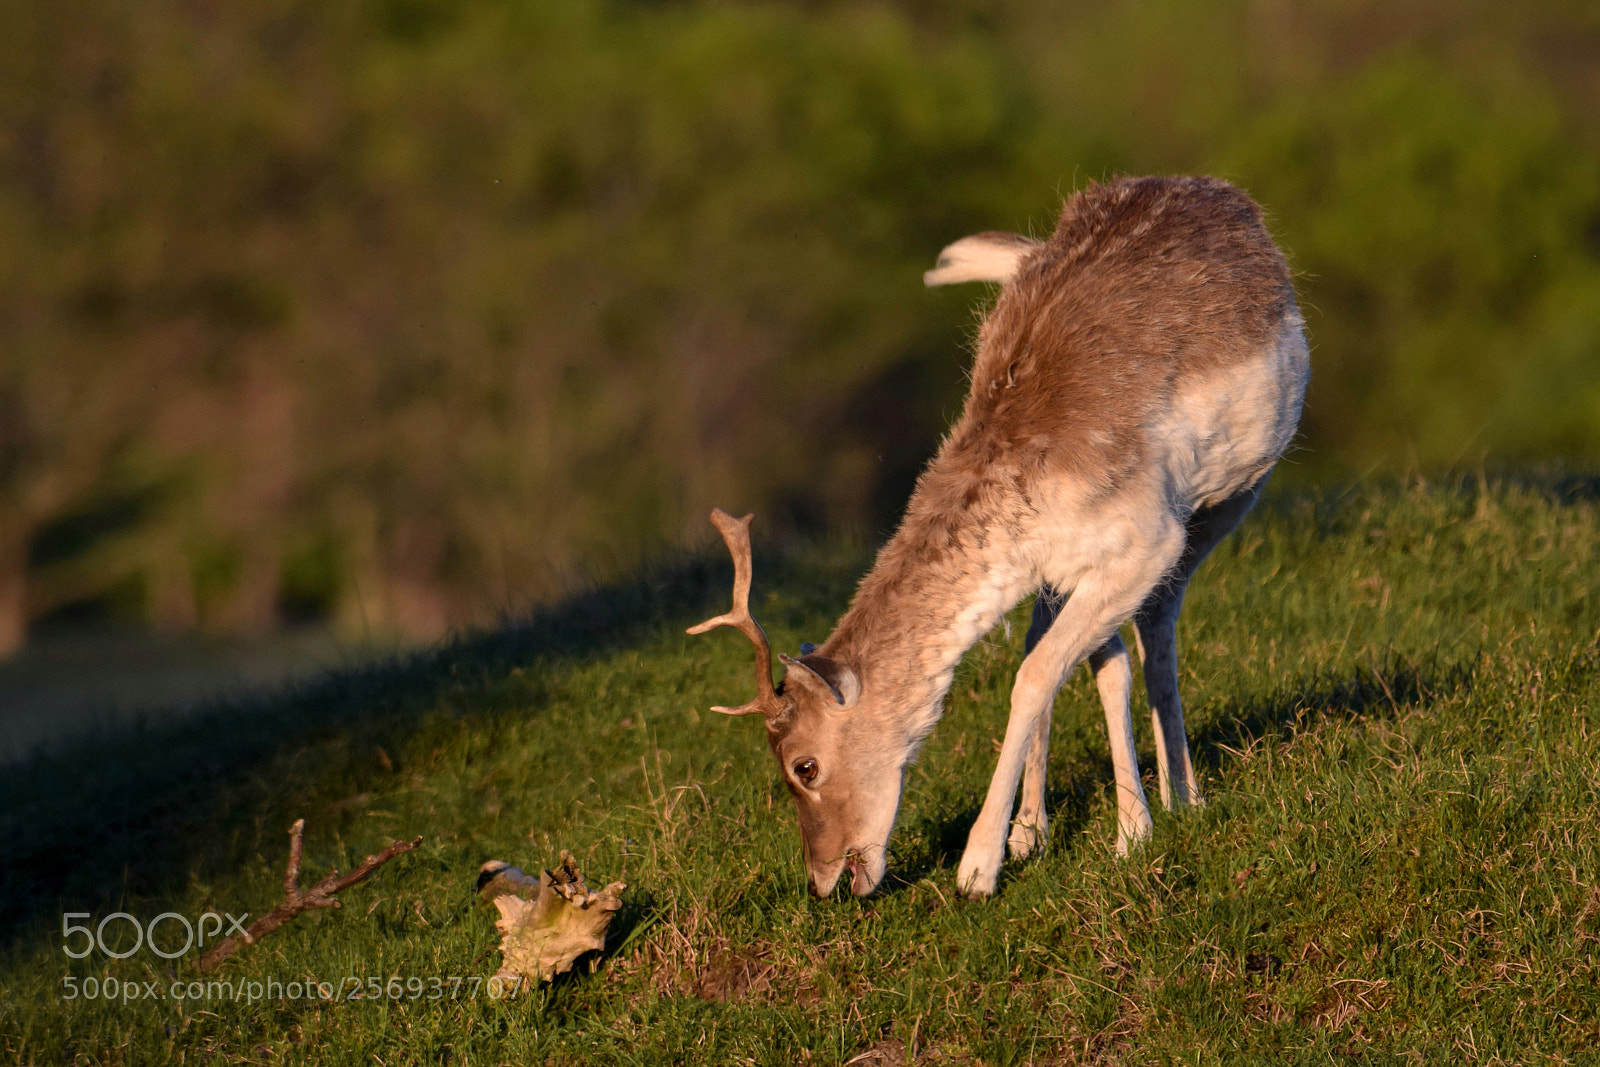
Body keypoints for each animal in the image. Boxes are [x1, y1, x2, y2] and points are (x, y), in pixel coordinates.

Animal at [690, 176, 1309, 899]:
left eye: (803, 765)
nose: (824, 879)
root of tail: (1226, 196)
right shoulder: (1059, 565)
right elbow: (1080, 665)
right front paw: (1051, 833)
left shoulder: (1147, 539)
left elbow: (1040, 672)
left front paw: (982, 866)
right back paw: (1055, 822)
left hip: (1235, 493)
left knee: (1161, 620)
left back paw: (1184, 793)